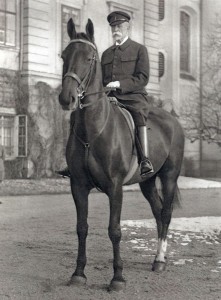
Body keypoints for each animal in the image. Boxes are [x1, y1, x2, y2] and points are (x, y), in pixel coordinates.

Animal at [58, 18, 185, 290]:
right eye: (64, 55)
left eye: (90, 58)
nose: (66, 98)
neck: (94, 130)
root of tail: (173, 121)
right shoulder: (78, 186)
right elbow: (81, 227)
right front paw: (79, 273)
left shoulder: (115, 187)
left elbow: (114, 230)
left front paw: (117, 277)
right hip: (147, 182)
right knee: (158, 211)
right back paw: (158, 256)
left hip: (169, 176)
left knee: (166, 213)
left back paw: (160, 260)